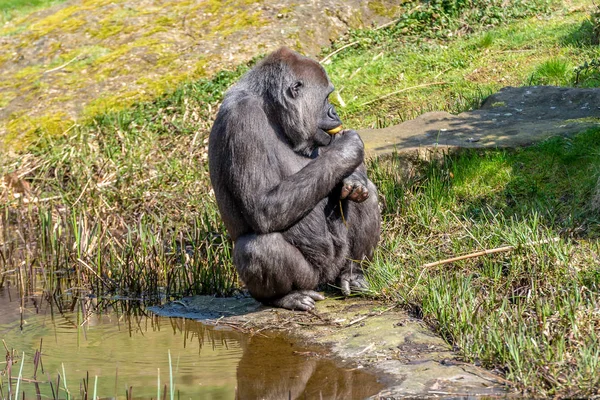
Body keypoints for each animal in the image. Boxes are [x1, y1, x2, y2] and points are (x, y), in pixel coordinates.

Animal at [209, 46, 382, 310]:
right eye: (326, 97)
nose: (334, 111)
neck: (271, 110)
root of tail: (326, 280)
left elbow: (344, 177)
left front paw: (354, 178)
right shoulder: (242, 119)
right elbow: (262, 206)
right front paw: (347, 150)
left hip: (336, 267)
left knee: (367, 196)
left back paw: (353, 274)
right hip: (312, 278)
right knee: (258, 246)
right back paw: (285, 297)